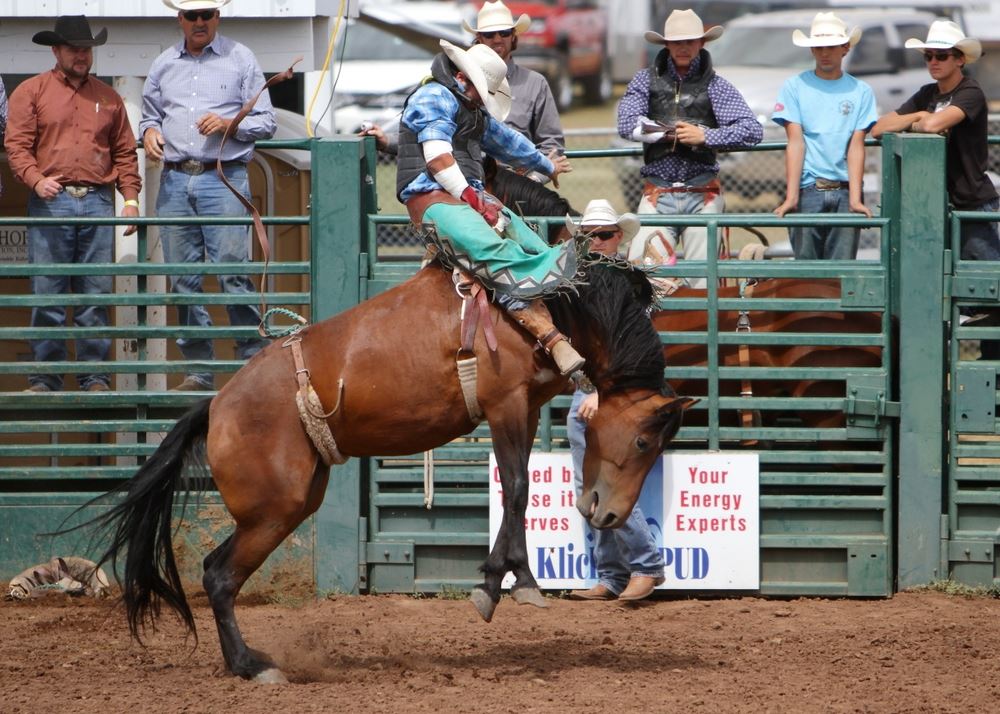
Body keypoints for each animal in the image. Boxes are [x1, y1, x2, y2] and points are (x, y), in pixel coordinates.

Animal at [81, 258, 694, 683]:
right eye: (643, 440)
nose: (607, 513)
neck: (547, 310)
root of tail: (216, 406)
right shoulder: (505, 404)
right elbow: (517, 487)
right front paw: (500, 584)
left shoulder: (522, 408)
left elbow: (516, 487)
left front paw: (515, 579)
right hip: (273, 511)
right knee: (218, 576)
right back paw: (254, 667)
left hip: (290, 503)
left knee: (216, 570)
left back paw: (247, 661)